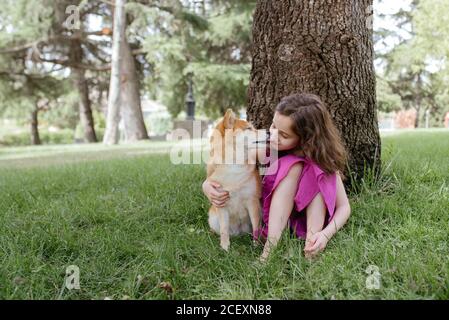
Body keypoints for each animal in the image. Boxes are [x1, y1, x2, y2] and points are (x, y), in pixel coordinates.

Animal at [205, 109, 260, 251]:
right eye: (248, 128)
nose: (269, 132)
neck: (233, 166)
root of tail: (238, 233)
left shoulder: (252, 201)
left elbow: (256, 226)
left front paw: (256, 245)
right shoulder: (221, 203)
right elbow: (224, 229)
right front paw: (225, 247)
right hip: (213, 215)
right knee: (219, 229)